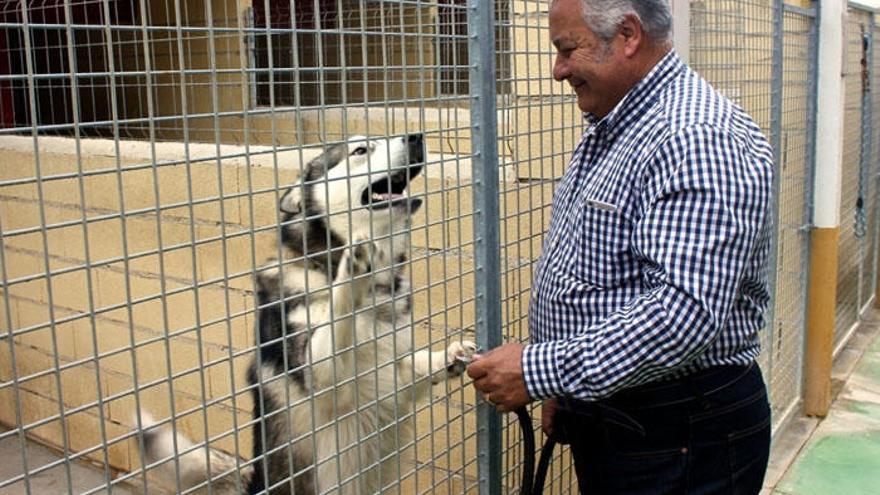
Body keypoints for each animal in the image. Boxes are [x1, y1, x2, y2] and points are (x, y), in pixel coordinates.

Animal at [138, 134, 478, 494]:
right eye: (360, 150)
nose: (416, 137)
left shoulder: (392, 377)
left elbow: (417, 363)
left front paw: (449, 356)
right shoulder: (322, 374)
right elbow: (337, 315)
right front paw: (352, 270)